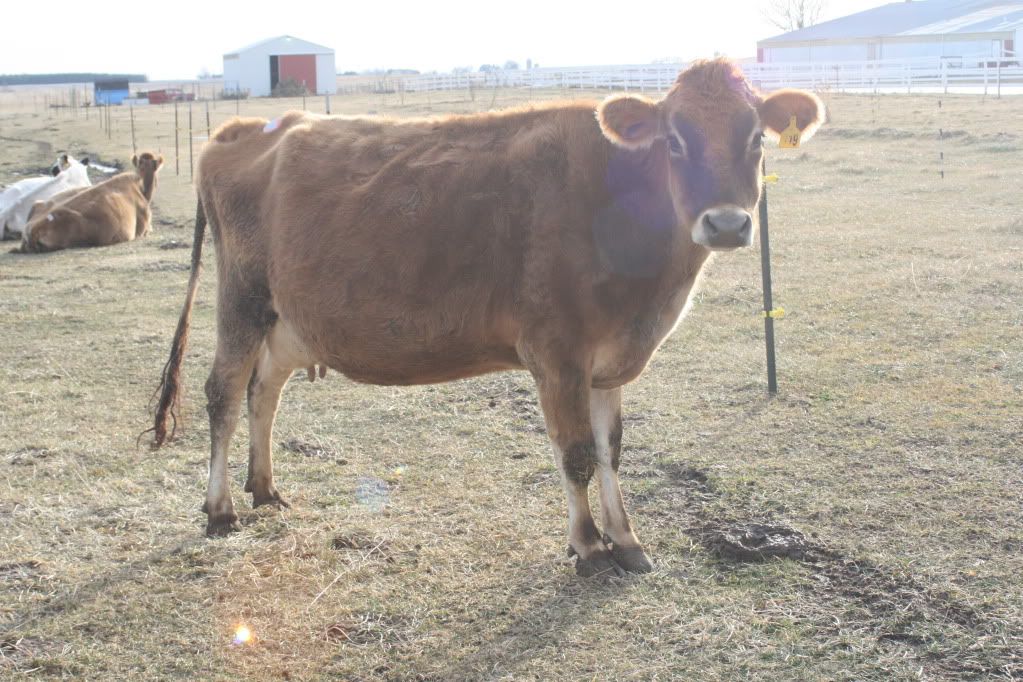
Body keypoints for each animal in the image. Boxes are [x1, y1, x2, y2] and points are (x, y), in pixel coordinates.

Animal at [149, 59, 824, 577]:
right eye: (675, 140)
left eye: (756, 139)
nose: (727, 224)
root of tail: (242, 128)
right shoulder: (556, 352)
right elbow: (576, 453)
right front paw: (588, 548)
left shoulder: (607, 361)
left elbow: (612, 450)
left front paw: (627, 540)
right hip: (241, 298)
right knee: (224, 393)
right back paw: (220, 509)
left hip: (286, 320)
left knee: (264, 391)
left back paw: (264, 488)